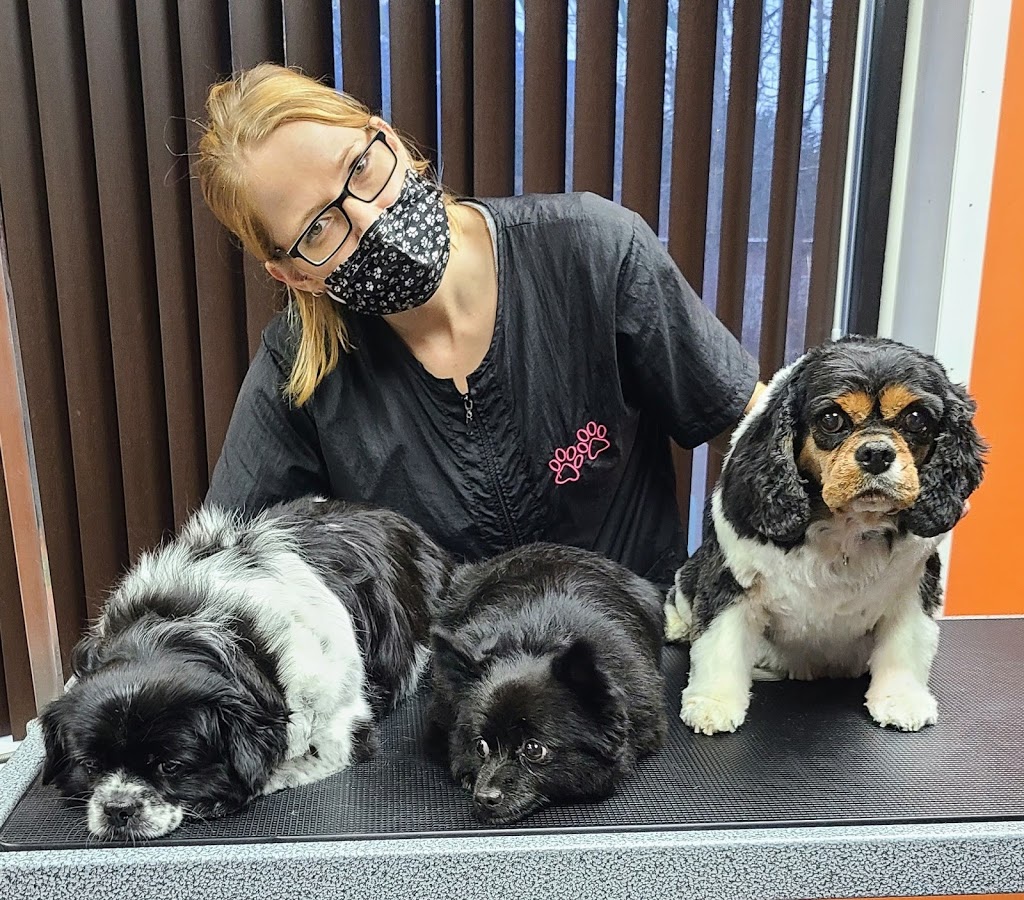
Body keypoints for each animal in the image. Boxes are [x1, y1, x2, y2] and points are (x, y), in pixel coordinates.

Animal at [665, 336, 985, 735]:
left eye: (916, 419)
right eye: (832, 419)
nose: (876, 453)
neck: (848, 527)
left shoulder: (914, 586)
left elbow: (907, 645)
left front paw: (901, 700)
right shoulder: (731, 578)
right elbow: (718, 642)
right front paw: (713, 704)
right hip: (691, 573)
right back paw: (677, 626)